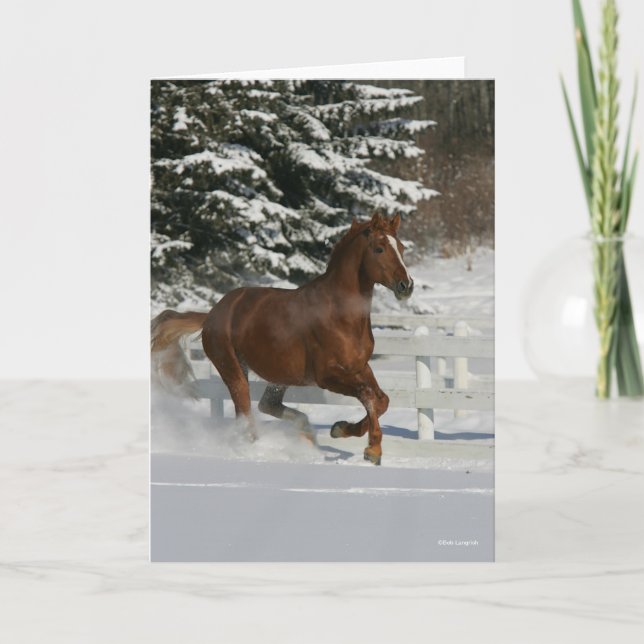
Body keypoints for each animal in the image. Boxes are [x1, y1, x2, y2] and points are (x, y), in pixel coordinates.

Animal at [151, 212, 414, 465]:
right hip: (233, 369)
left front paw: (340, 429)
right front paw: (373, 450)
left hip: (281, 374)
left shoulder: (360, 367)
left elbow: (382, 400)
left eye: (401, 247)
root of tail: (212, 314)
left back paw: (305, 432)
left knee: (267, 404)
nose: (406, 286)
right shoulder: (327, 376)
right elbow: (367, 395)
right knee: (245, 413)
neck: (340, 315)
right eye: (379, 248)